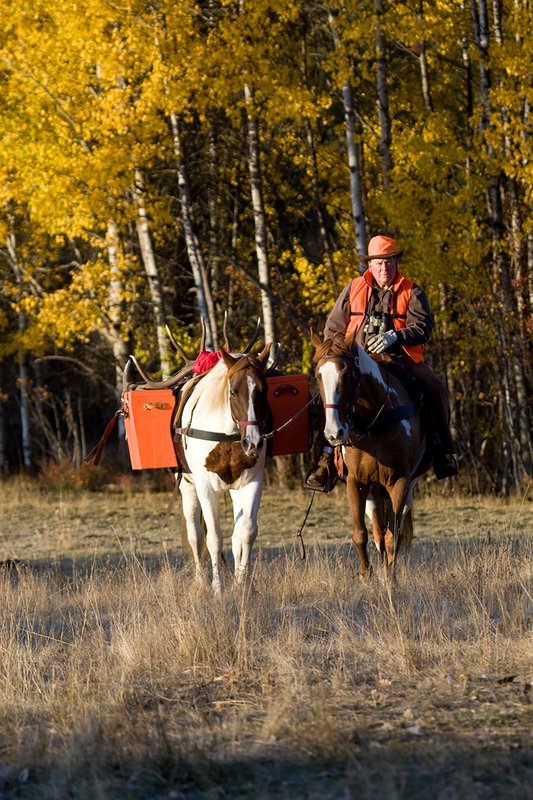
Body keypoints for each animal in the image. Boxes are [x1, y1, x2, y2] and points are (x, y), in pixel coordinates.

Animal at [174, 344, 271, 595]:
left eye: (263, 391)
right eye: (234, 392)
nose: (253, 443)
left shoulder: (252, 482)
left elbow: (246, 533)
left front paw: (241, 584)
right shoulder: (205, 487)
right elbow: (213, 538)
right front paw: (217, 588)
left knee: (236, 536)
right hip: (187, 487)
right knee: (195, 535)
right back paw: (200, 580)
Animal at [312, 332, 431, 576]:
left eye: (347, 374)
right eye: (318, 375)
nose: (334, 433)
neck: (374, 422)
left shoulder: (399, 482)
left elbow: (393, 538)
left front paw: (390, 577)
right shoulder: (356, 482)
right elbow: (360, 533)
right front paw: (366, 575)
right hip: (374, 493)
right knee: (377, 532)